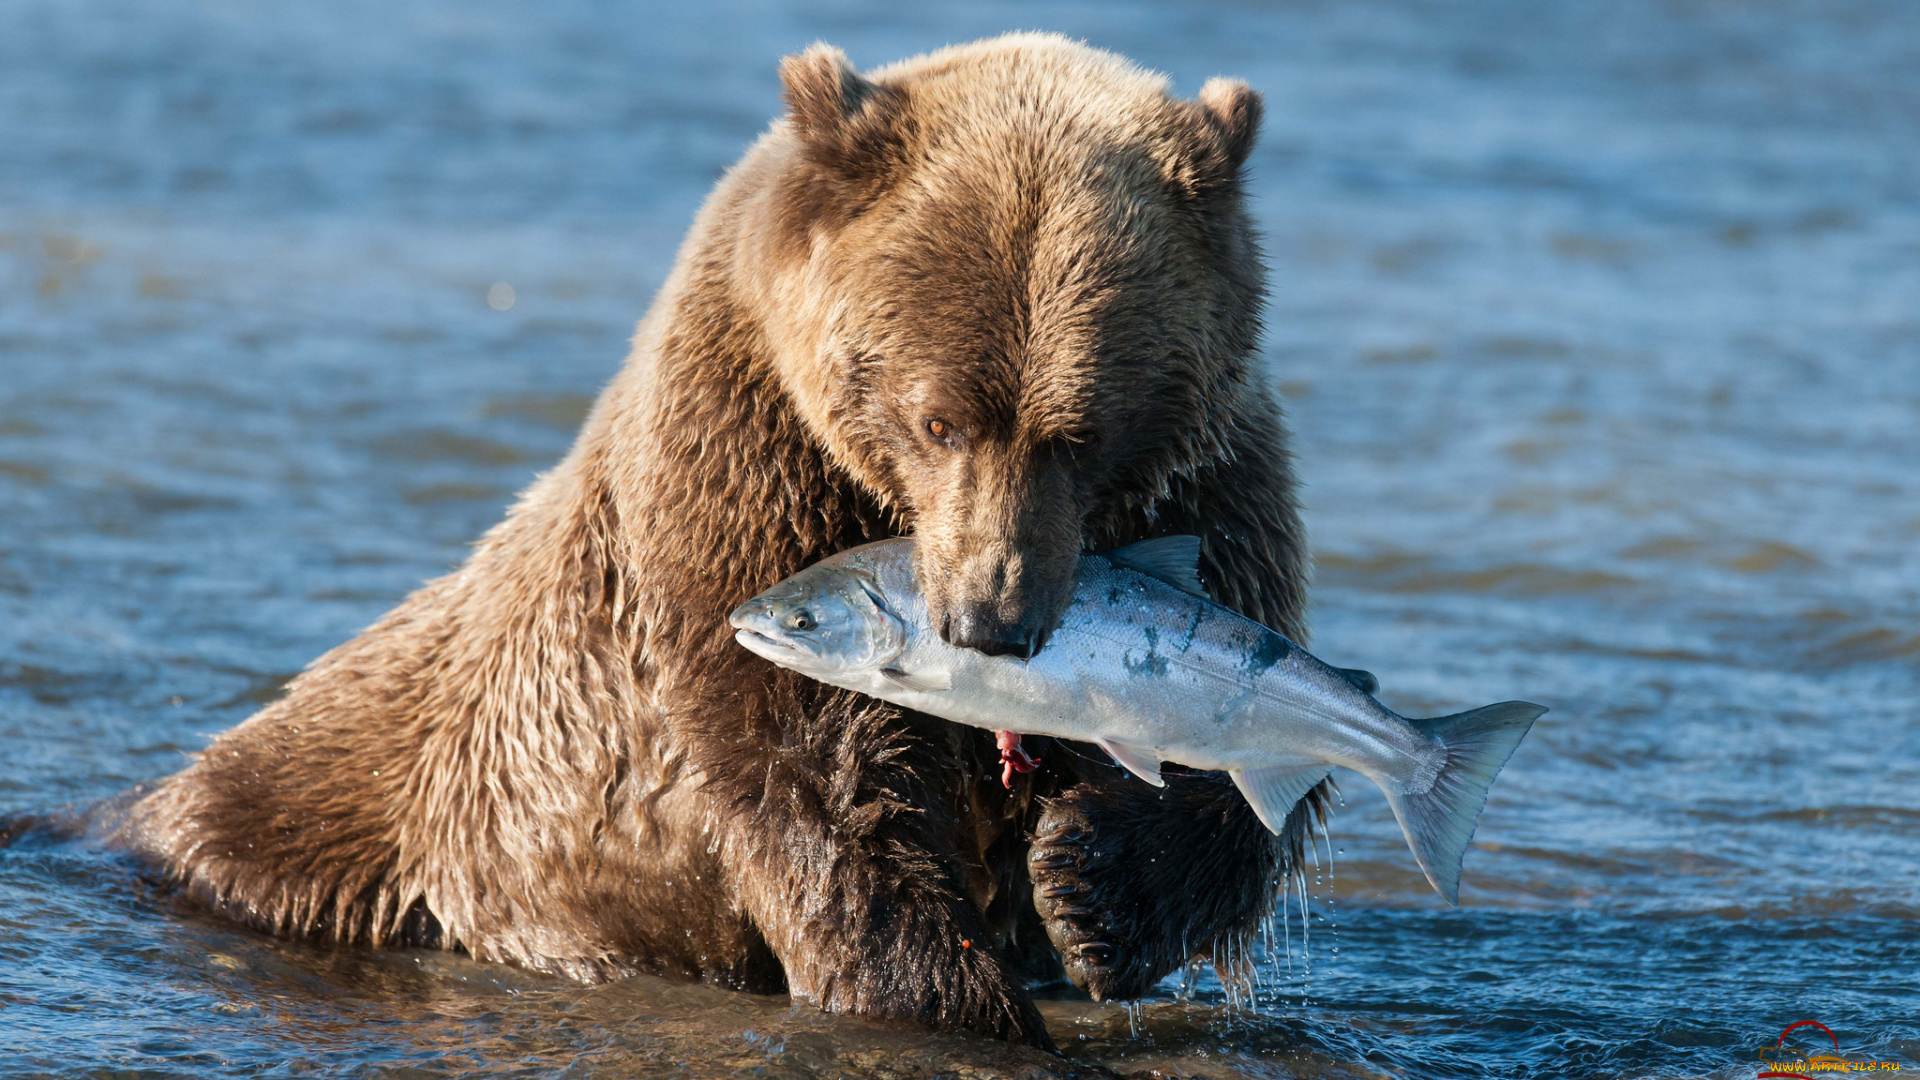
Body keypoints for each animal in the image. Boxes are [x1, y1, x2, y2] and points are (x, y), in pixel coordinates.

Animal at [123, 31, 1320, 1045]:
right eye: (939, 419)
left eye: (1082, 433)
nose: (993, 619)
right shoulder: (747, 470)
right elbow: (815, 768)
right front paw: (949, 994)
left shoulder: (1210, 488)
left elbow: (1245, 740)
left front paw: (1089, 885)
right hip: (371, 802)